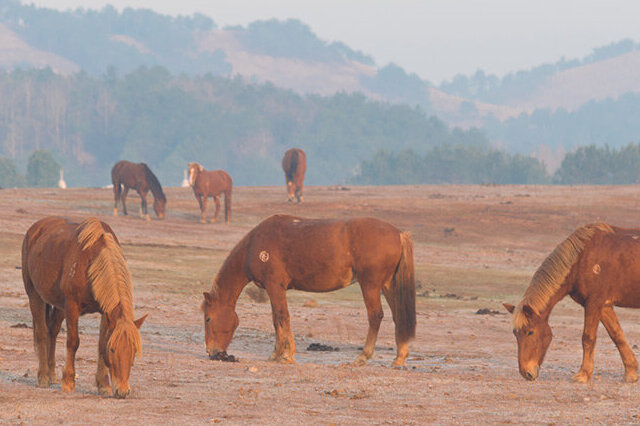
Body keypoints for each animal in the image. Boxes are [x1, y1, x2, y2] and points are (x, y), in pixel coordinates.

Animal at [20, 216, 148, 400]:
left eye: (134, 352)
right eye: (112, 350)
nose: (123, 391)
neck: (91, 262)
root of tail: (35, 228)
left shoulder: (105, 312)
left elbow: (100, 344)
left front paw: (103, 385)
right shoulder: (72, 307)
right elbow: (73, 342)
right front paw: (68, 382)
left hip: (59, 306)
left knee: (52, 332)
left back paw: (51, 375)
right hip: (34, 296)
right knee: (42, 333)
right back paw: (43, 377)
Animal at [202, 216, 418, 366]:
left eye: (208, 318)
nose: (212, 352)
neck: (254, 246)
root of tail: (398, 234)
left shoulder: (275, 286)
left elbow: (282, 317)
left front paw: (287, 355)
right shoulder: (274, 290)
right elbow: (276, 320)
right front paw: (276, 354)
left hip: (370, 286)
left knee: (375, 316)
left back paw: (363, 356)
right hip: (387, 285)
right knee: (398, 315)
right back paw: (400, 357)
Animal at [502, 223, 640, 382]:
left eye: (530, 332)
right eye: (515, 333)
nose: (526, 373)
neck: (581, 259)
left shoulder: (593, 303)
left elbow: (587, 338)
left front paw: (583, 374)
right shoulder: (604, 306)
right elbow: (617, 335)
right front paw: (630, 372)